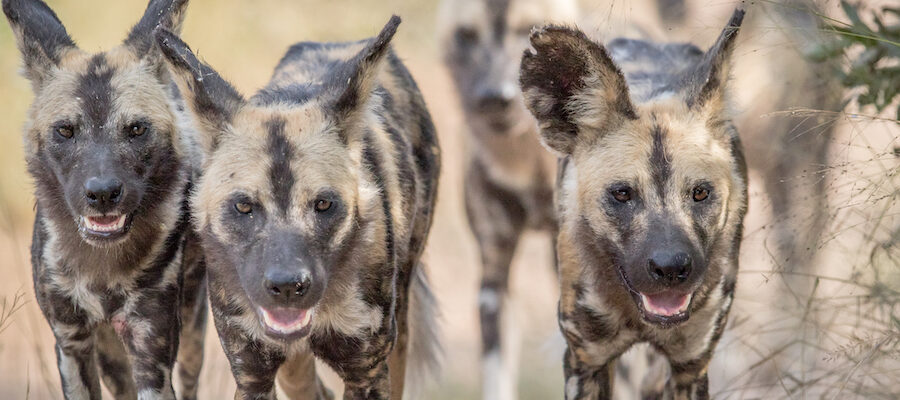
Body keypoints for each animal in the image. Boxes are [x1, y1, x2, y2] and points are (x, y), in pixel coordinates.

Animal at [3, 0, 207, 398]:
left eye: (137, 129)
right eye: (65, 130)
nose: (102, 193)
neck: (102, 268)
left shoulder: (150, 348)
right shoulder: (72, 343)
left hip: (190, 334)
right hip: (110, 356)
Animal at [156, 14, 442, 398]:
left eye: (323, 204)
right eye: (243, 207)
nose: (288, 286)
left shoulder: (366, 372)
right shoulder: (252, 372)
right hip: (293, 367)